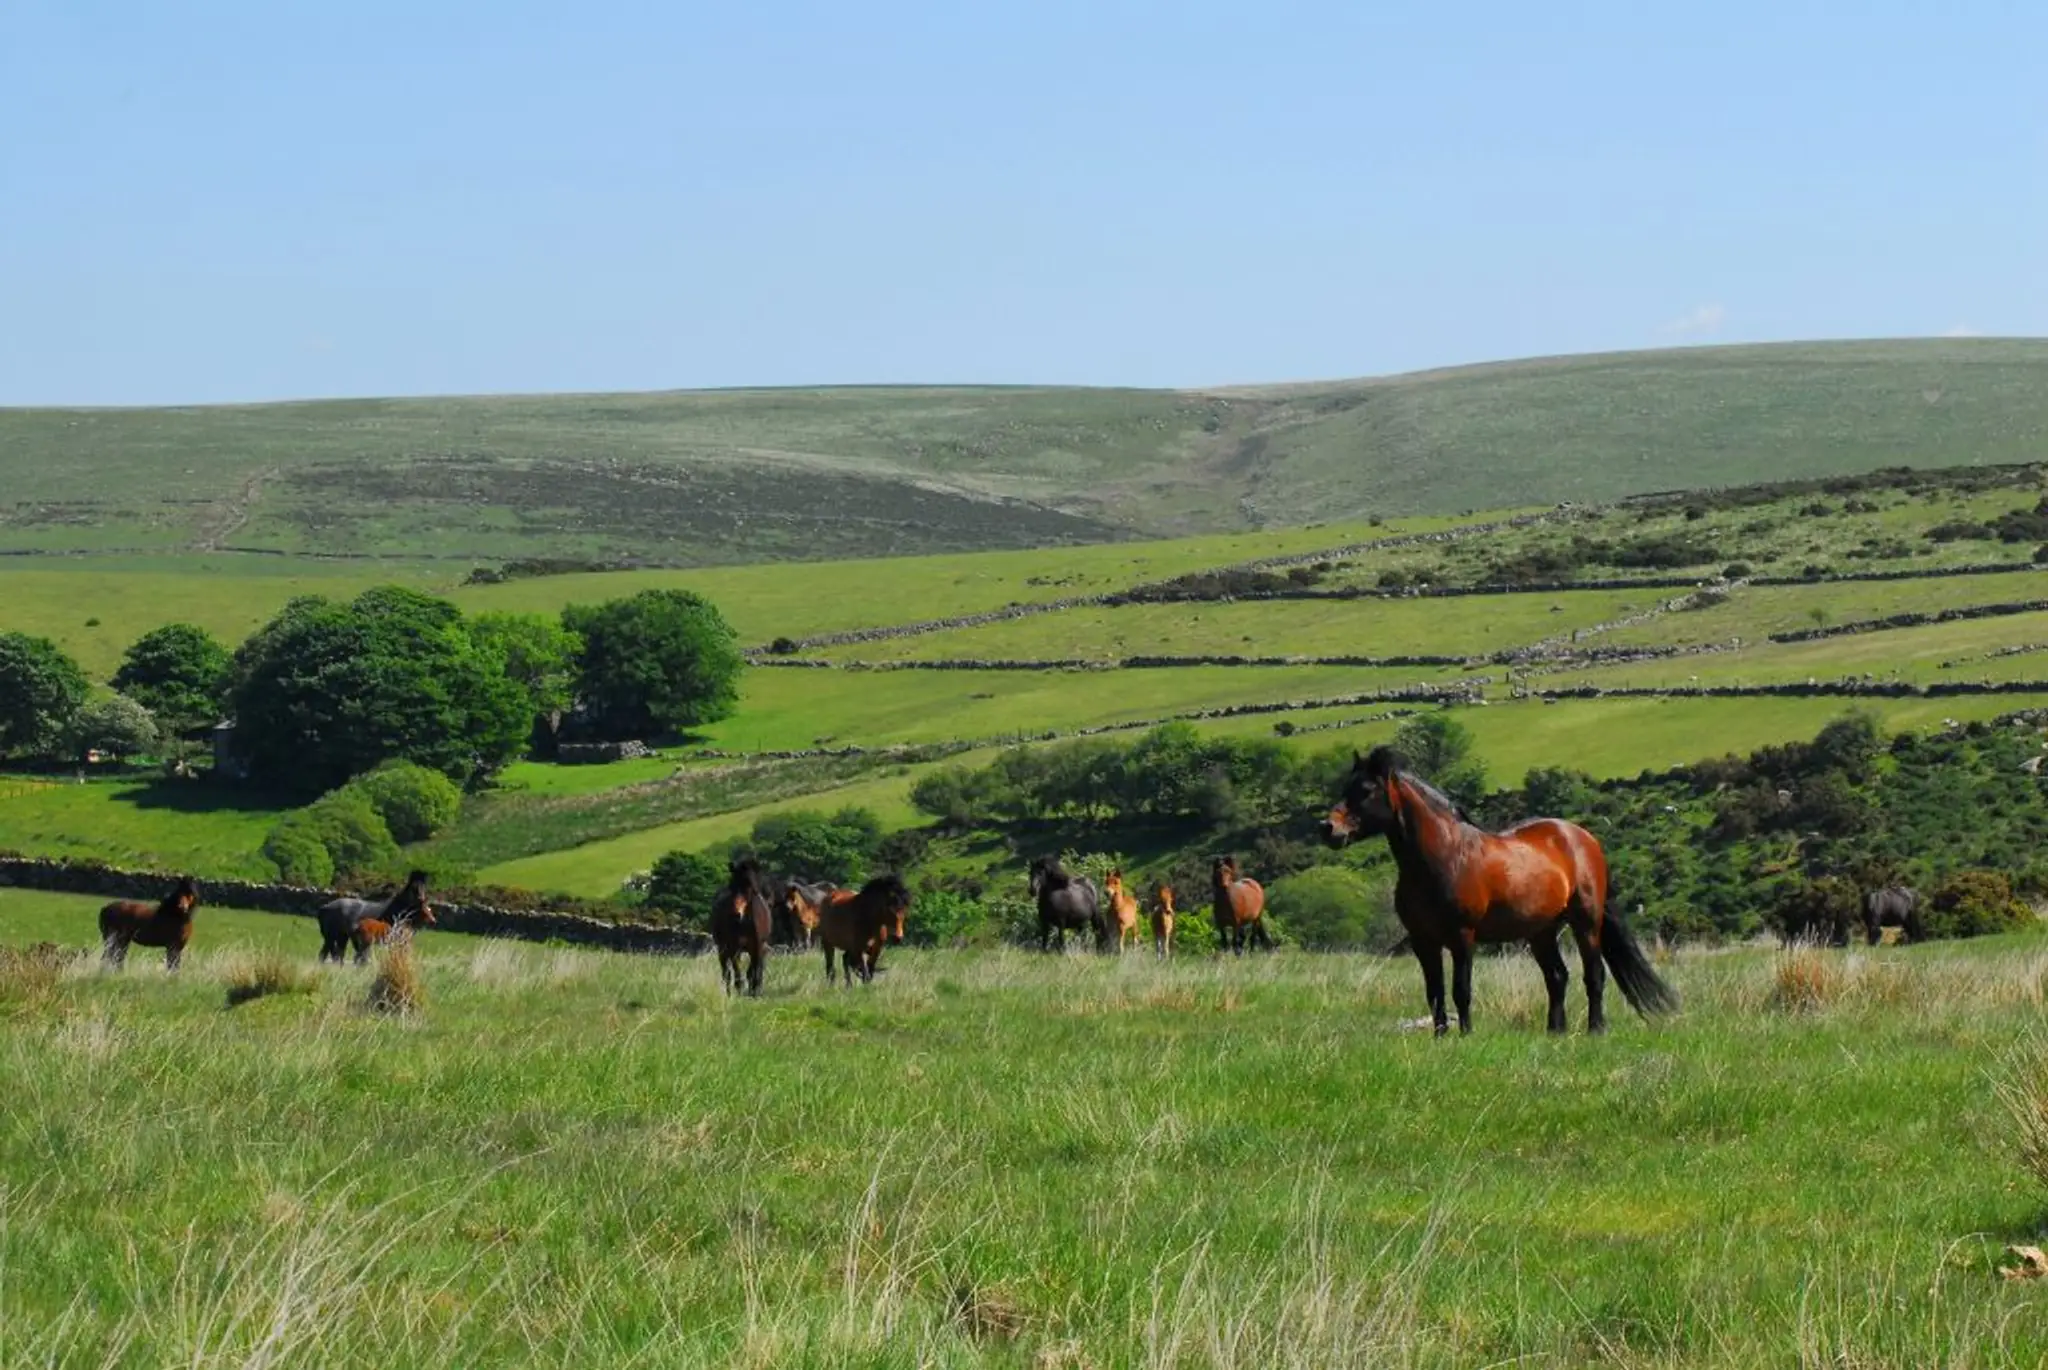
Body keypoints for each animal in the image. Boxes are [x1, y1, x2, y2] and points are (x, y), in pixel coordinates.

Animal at [712, 857, 773, 996]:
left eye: (749, 886)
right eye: (731, 886)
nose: (736, 914)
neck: (746, 923)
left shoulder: (757, 948)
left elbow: (753, 971)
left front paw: (754, 992)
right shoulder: (734, 949)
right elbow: (738, 973)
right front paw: (741, 992)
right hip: (722, 950)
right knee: (727, 974)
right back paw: (729, 994)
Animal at [1321, 746, 1678, 1036]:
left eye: (1366, 790)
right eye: (1345, 787)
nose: (1328, 828)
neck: (1443, 858)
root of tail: (1584, 839)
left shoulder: (1462, 936)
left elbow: (1461, 989)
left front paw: (1465, 1035)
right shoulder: (1423, 941)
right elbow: (1434, 992)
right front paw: (1440, 1036)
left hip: (1586, 923)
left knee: (1594, 975)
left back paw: (1596, 1029)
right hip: (1541, 932)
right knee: (1557, 977)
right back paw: (1555, 1031)